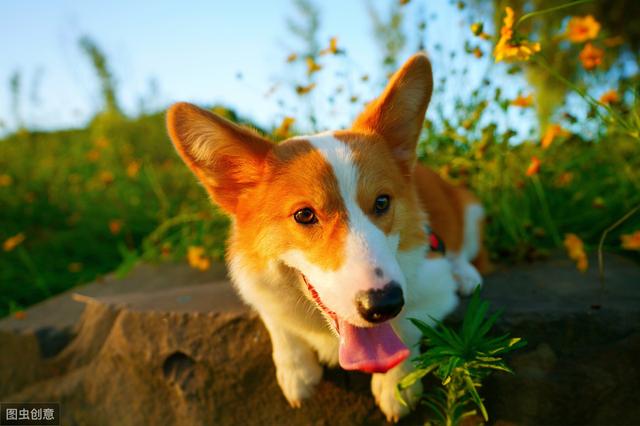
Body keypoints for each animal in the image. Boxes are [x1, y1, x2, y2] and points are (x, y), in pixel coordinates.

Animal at [165, 52, 484, 420]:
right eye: (304, 215)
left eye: (382, 202)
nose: (384, 305)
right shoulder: (257, 286)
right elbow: (277, 322)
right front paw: (296, 372)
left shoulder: (434, 284)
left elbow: (407, 325)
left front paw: (396, 384)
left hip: (470, 210)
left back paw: (465, 274)